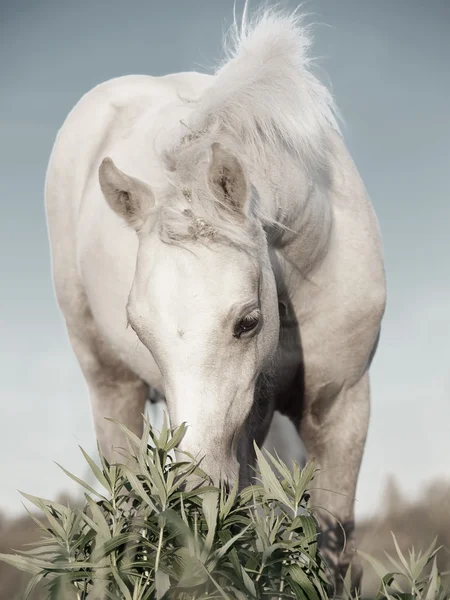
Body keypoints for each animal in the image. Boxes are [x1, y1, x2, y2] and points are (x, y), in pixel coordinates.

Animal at [44, 5, 384, 596]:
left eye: (247, 322)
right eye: (138, 329)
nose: (194, 500)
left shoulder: (341, 405)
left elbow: (333, 547)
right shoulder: (246, 426)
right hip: (111, 388)